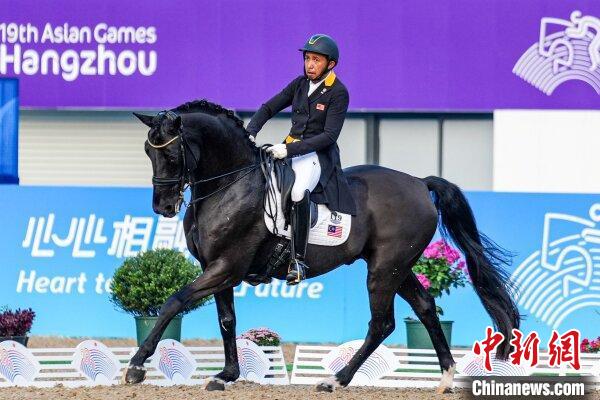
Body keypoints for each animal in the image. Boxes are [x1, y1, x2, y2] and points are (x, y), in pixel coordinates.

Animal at [124, 100, 516, 394]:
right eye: (146, 151)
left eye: (171, 156)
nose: (163, 207)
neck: (231, 184)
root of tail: (420, 183)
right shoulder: (217, 267)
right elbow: (226, 320)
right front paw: (226, 375)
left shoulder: (227, 266)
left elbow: (174, 302)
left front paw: (136, 366)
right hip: (396, 267)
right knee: (424, 307)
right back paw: (446, 376)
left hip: (384, 269)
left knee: (383, 323)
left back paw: (336, 380)